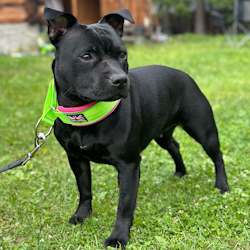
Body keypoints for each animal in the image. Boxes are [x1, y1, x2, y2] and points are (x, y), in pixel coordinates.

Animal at [43, 7, 229, 248]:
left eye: (122, 54)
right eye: (86, 56)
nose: (121, 80)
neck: (85, 113)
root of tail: (184, 74)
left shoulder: (129, 164)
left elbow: (124, 205)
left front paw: (118, 237)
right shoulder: (76, 158)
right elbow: (84, 189)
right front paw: (82, 215)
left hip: (204, 131)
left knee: (218, 156)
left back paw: (222, 186)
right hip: (162, 135)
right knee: (175, 145)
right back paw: (180, 171)